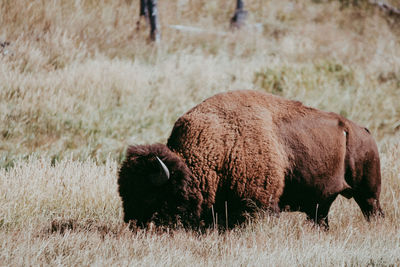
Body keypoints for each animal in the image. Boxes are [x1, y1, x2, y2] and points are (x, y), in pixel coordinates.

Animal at [117, 90, 382, 230]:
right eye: (124, 193)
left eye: (148, 195)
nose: (131, 223)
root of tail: (362, 131)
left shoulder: (260, 205)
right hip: (320, 206)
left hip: (368, 194)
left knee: (373, 211)